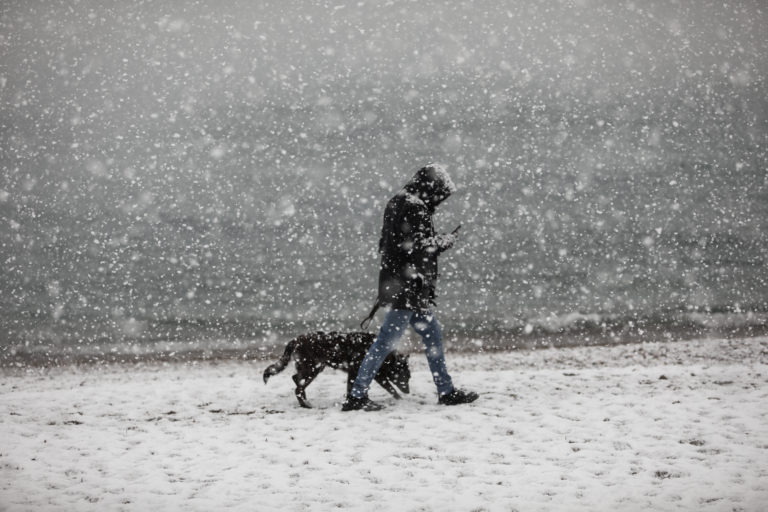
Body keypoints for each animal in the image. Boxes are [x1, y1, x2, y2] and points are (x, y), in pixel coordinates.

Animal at [262, 332, 408, 408]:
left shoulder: (354, 373)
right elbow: (390, 388)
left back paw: (304, 400)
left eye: (408, 377)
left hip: (313, 369)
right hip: (312, 370)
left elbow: (352, 388)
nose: (408, 391)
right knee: (298, 387)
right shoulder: (369, 374)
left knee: (296, 380)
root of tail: (296, 340)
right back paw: (305, 404)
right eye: (403, 376)